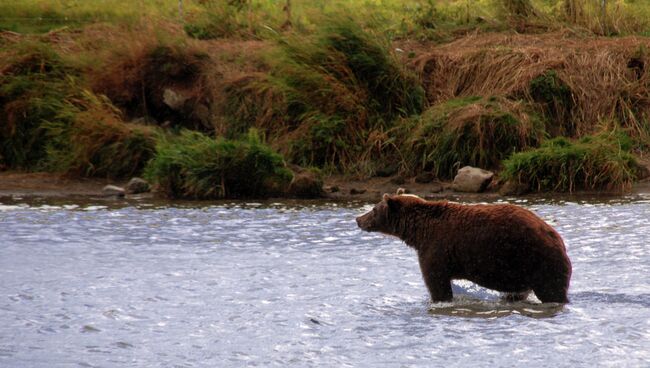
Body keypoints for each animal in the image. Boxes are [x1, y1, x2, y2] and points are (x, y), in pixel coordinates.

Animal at [354, 194, 572, 304]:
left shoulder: (435, 249)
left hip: (538, 261)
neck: (419, 231)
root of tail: (557, 238)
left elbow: (437, 284)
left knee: (552, 291)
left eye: (373, 209)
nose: (358, 219)